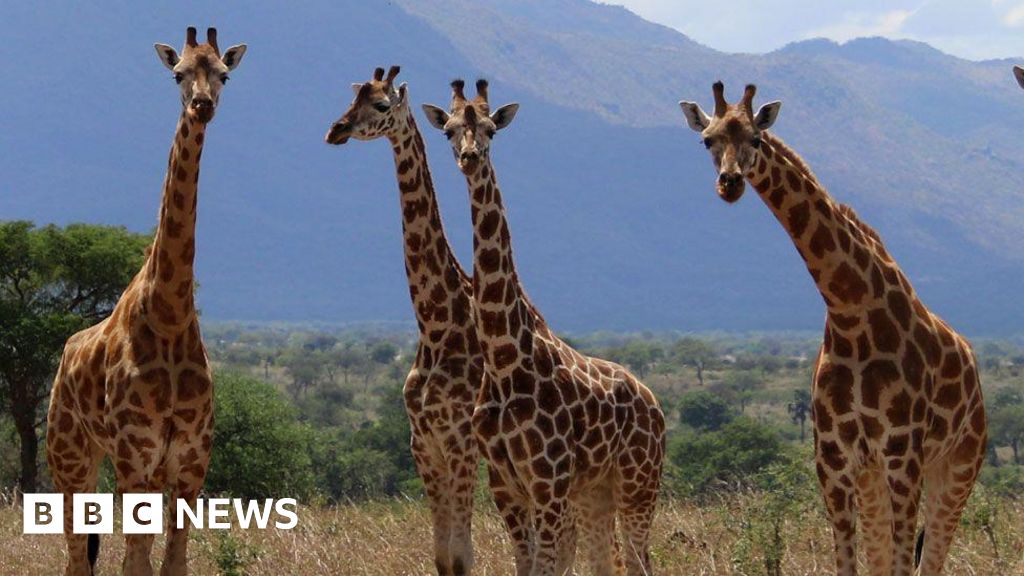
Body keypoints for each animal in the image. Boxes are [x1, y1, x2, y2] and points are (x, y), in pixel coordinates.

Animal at [45, 27, 246, 576]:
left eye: (224, 74)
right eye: (178, 74)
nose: (201, 105)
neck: (171, 315)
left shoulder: (191, 460)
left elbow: (172, 561)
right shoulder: (135, 455)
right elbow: (133, 561)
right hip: (69, 455)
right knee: (76, 556)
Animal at [324, 66, 484, 576]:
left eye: (380, 105)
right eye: (351, 98)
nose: (335, 130)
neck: (434, 324)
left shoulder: (459, 442)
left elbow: (462, 556)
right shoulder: (423, 443)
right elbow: (443, 557)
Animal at [423, 79, 666, 576]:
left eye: (492, 129)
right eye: (450, 130)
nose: (469, 157)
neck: (503, 359)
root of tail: (655, 404)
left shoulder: (547, 483)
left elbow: (548, 566)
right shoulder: (505, 485)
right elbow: (528, 564)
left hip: (639, 482)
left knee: (639, 561)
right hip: (596, 491)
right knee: (607, 562)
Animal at [680, 82, 987, 576]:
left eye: (756, 138)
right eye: (707, 140)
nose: (730, 184)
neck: (849, 312)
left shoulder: (903, 452)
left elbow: (904, 561)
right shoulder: (835, 458)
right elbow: (850, 561)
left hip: (959, 464)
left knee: (933, 556)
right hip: (875, 476)